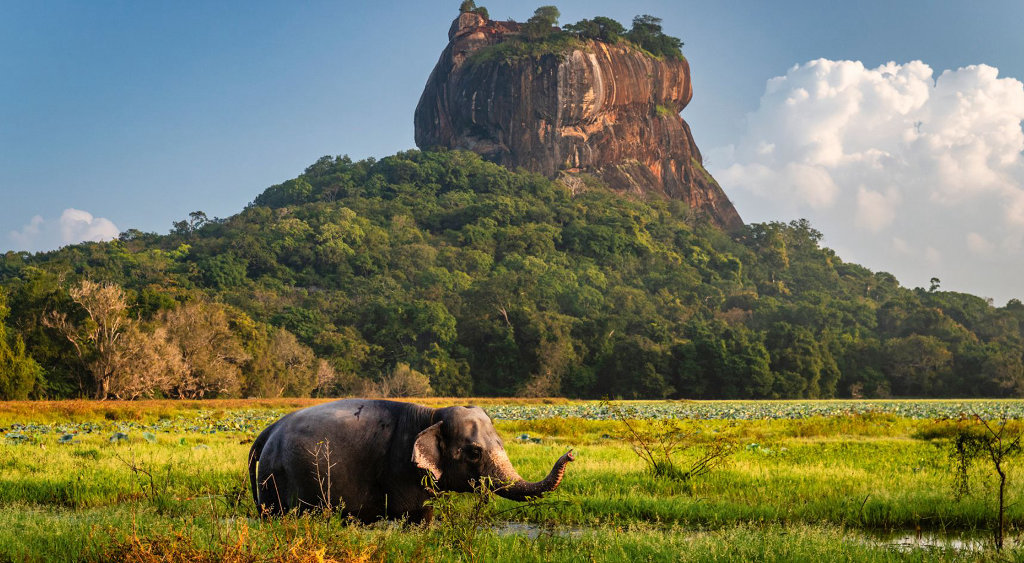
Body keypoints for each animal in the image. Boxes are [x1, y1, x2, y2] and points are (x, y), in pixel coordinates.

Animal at [248, 399, 575, 522]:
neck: (431, 414)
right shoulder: (401, 468)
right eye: (474, 452)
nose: (570, 454)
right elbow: (417, 513)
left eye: (502, 444)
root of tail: (268, 430)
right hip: (275, 478)